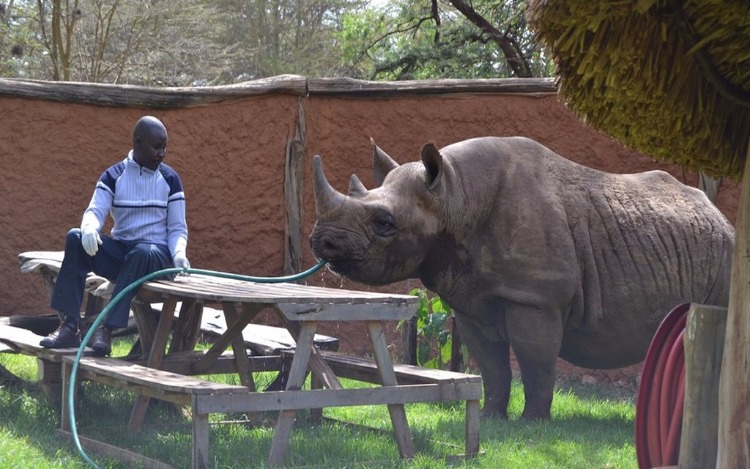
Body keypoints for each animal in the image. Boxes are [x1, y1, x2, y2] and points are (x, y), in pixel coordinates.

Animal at [310, 135, 736, 416]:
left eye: (385, 223)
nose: (321, 241)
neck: (454, 197)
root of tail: (720, 215)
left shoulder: (535, 298)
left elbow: (535, 361)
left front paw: (534, 422)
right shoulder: (470, 299)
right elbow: (492, 364)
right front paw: (492, 418)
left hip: (726, 255)